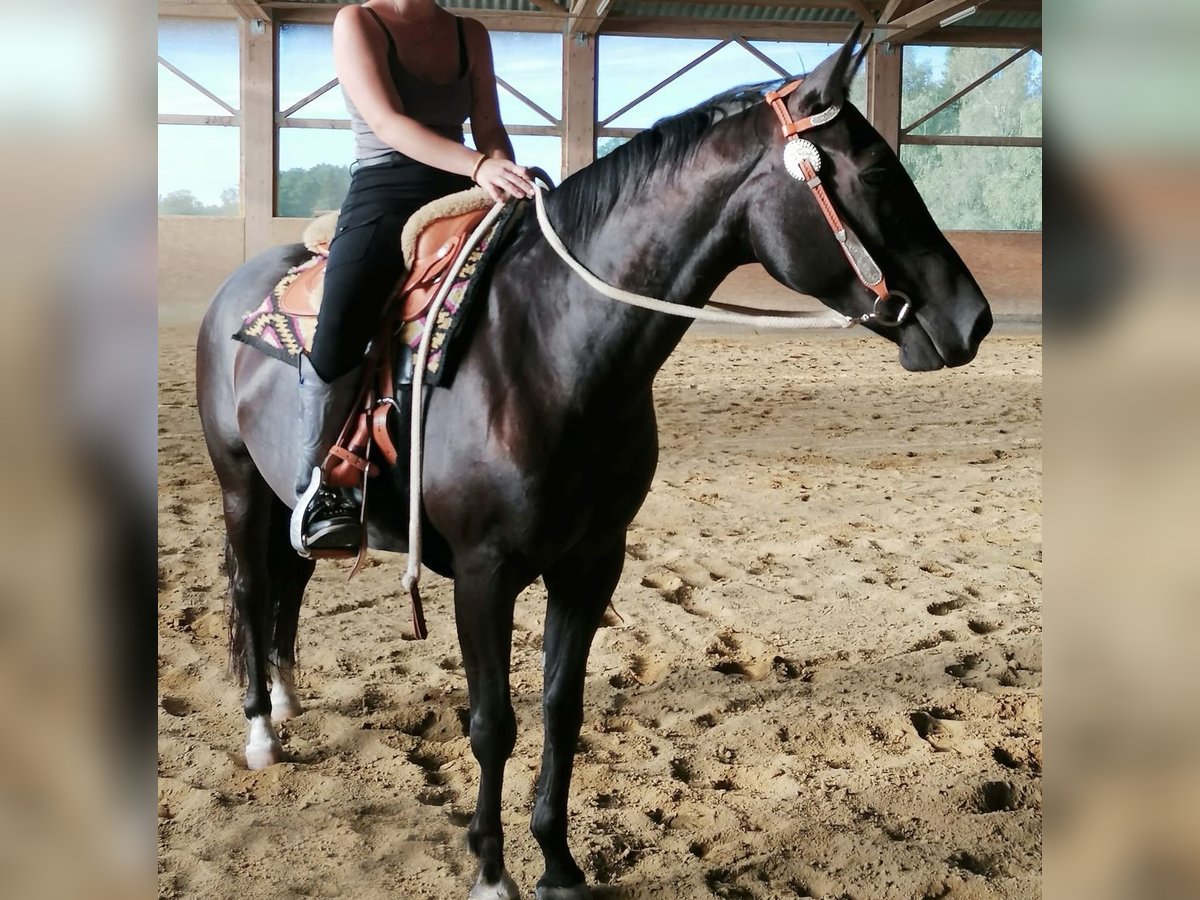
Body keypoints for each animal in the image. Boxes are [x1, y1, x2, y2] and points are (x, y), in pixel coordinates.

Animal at [195, 30, 991, 900]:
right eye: (876, 172)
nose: (974, 318)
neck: (550, 345)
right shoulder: (482, 572)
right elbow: (492, 724)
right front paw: (490, 869)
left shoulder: (590, 564)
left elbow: (561, 712)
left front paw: (559, 864)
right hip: (240, 487)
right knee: (253, 587)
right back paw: (261, 729)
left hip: (290, 500)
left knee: (293, 583)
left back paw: (287, 696)